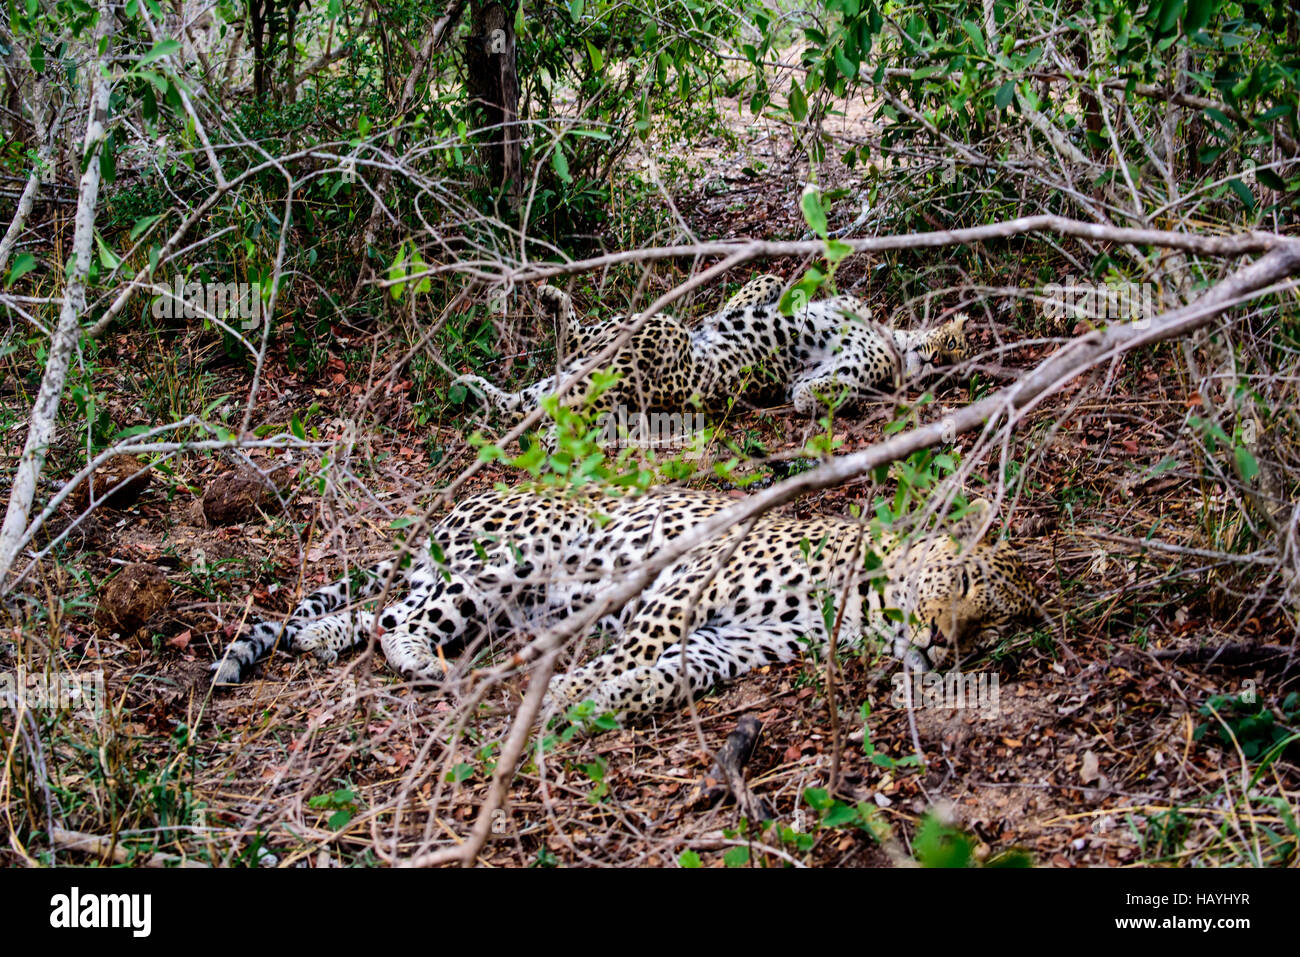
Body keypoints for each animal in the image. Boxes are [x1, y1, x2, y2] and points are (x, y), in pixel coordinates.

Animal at [215, 486, 1045, 717]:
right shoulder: (692, 576)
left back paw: (317, 638)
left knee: (382, 608)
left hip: (487, 601)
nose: (942, 643)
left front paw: (600, 700)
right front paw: (570, 688)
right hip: (511, 557)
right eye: (962, 583)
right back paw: (422, 661)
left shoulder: (735, 640)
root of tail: (454, 507)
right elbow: (637, 647)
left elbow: (667, 673)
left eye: (991, 622)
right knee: (399, 617)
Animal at [452, 276, 972, 426]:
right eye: (951, 346)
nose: (935, 363)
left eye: (952, 369)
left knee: (570, 348)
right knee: (519, 399)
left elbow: (818, 389)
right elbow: (763, 287)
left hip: (652, 330)